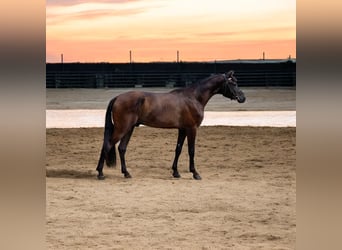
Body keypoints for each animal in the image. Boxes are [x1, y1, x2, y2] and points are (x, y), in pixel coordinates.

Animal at [96, 70, 246, 180]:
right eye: (233, 83)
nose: (243, 98)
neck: (193, 98)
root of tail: (117, 98)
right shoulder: (192, 129)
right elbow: (191, 150)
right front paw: (195, 173)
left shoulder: (183, 129)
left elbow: (178, 149)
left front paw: (176, 172)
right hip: (122, 128)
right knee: (108, 145)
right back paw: (100, 173)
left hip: (129, 128)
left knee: (121, 148)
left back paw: (126, 173)